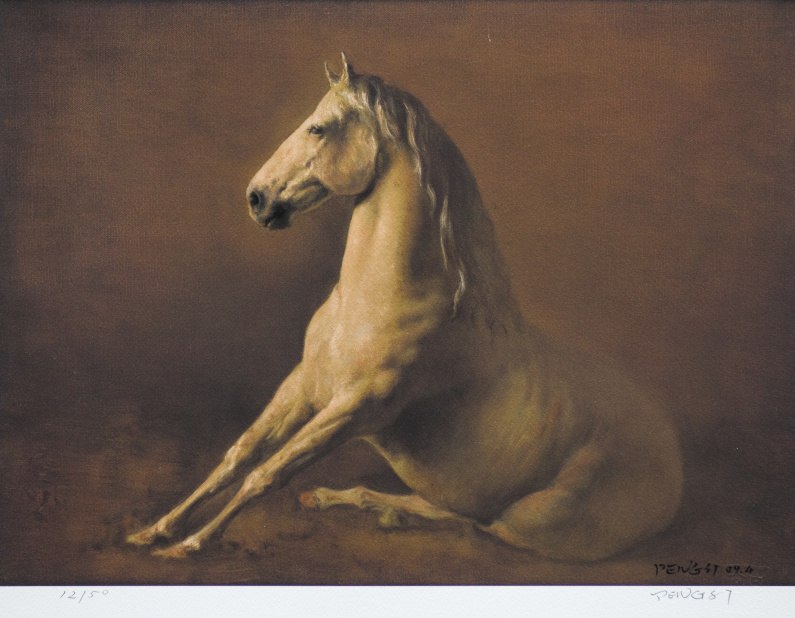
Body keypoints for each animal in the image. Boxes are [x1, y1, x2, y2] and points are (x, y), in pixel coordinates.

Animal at [127, 54, 683, 562]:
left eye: (317, 128)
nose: (257, 199)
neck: (376, 303)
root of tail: (673, 459)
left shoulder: (355, 409)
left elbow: (267, 472)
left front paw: (192, 544)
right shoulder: (304, 385)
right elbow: (238, 455)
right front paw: (156, 530)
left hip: (532, 519)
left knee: (476, 524)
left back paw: (376, 510)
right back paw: (339, 499)